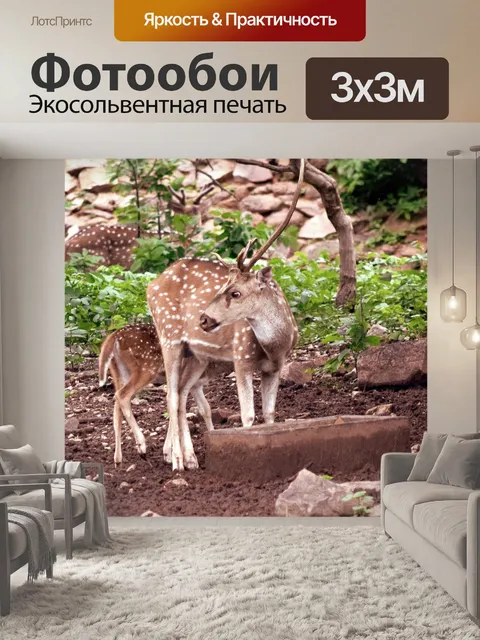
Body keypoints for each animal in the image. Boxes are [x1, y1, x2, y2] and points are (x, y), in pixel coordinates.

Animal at [98, 323, 230, 465]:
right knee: (122, 396)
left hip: (119, 371)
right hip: (147, 367)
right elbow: (176, 408)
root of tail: (114, 336)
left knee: (117, 407)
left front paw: (212, 436)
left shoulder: (197, 385)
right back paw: (141, 446)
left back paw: (118, 458)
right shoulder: (186, 379)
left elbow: (206, 409)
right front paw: (169, 453)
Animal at [147, 159, 305, 472]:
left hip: (195, 354)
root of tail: (151, 284)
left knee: (181, 393)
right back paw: (177, 461)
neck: (275, 345)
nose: (204, 319)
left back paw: (188, 457)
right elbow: (248, 416)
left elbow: (270, 414)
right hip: (169, 335)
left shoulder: (276, 367)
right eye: (222, 287)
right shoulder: (241, 357)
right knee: (171, 394)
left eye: (235, 293)